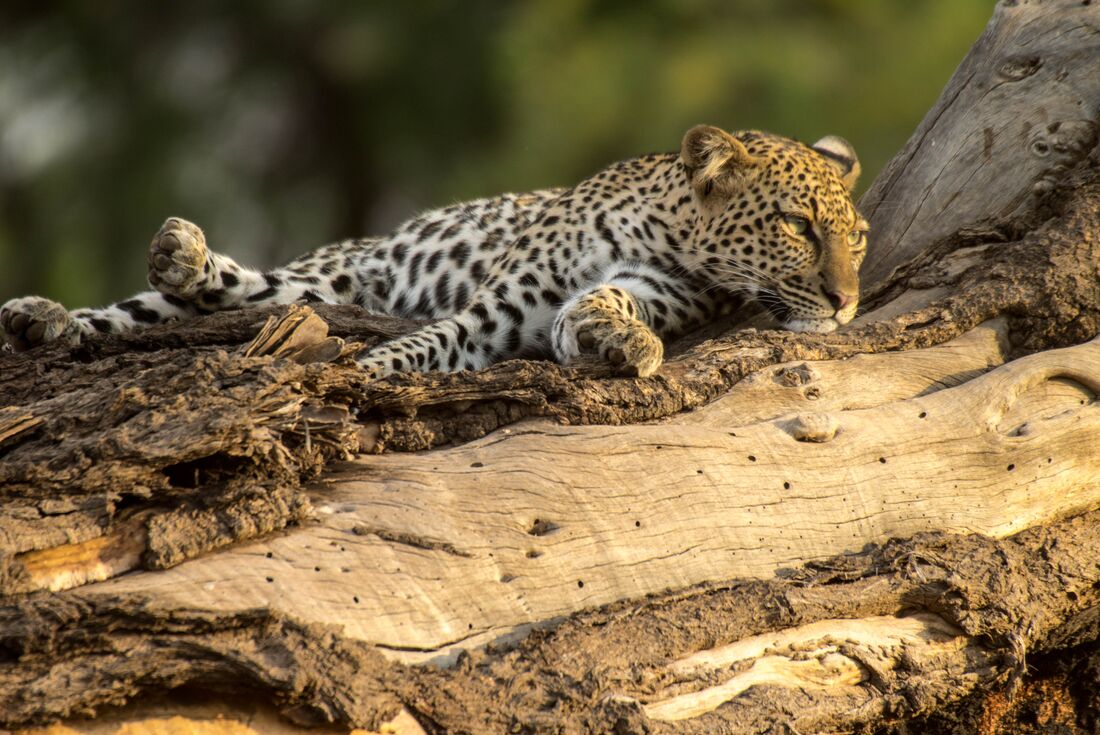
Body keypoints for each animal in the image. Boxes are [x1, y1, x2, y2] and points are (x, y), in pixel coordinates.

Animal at [0, 124, 867, 378]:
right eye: (798, 226)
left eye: (857, 240)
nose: (847, 301)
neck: (662, 228)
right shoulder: (493, 306)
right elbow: (414, 350)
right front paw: (363, 375)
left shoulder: (650, 290)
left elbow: (602, 304)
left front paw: (616, 337)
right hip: (339, 269)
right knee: (207, 294)